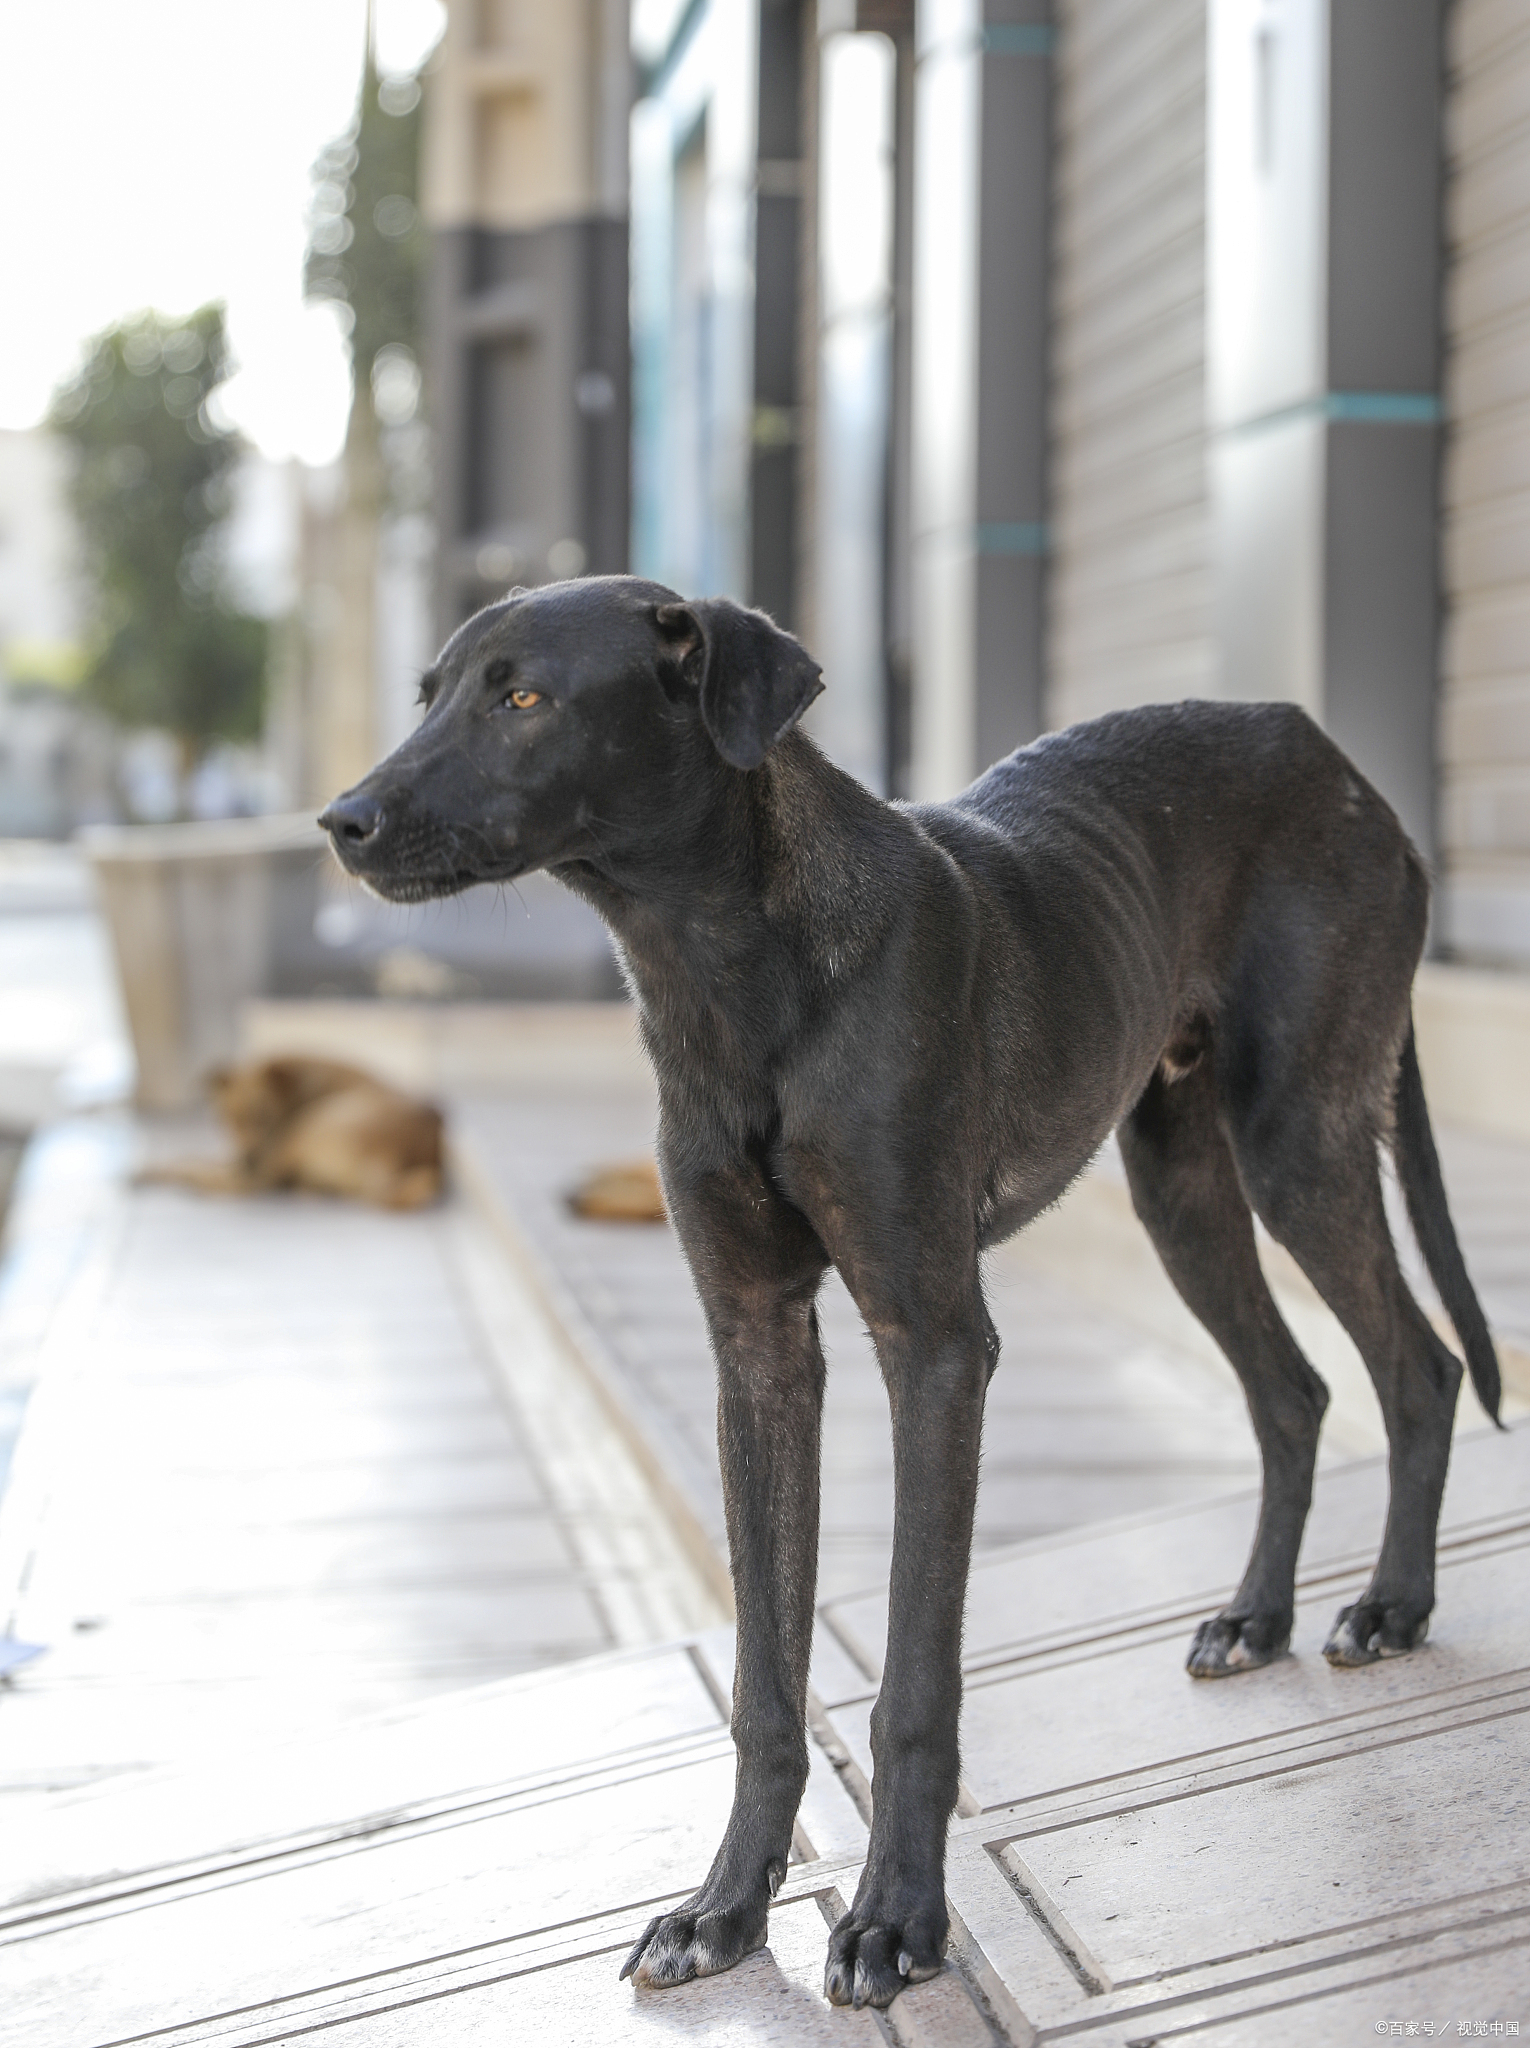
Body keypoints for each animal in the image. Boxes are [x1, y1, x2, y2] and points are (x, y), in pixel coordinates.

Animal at [143, 1064, 446, 1204]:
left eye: (263, 1115)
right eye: (228, 1119)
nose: (248, 1159)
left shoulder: (266, 1152)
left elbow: (199, 1163)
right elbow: (200, 1157)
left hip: (303, 1131)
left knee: (242, 1185)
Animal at [317, 577, 1499, 2015]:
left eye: (525, 696)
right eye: (431, 690)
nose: (341, 822)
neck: (730, 964)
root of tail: (1329, 755)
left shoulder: (933, 1342)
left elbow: (914, 1679)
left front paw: (893, 1922)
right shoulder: (758, 1352)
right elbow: (765, 1679)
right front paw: (725, 1911)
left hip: (1295, 1141)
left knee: (1418, 1367)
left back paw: (1391, 1606)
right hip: (1177, 1184)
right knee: (1294, 1388)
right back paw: (1255, 1618)